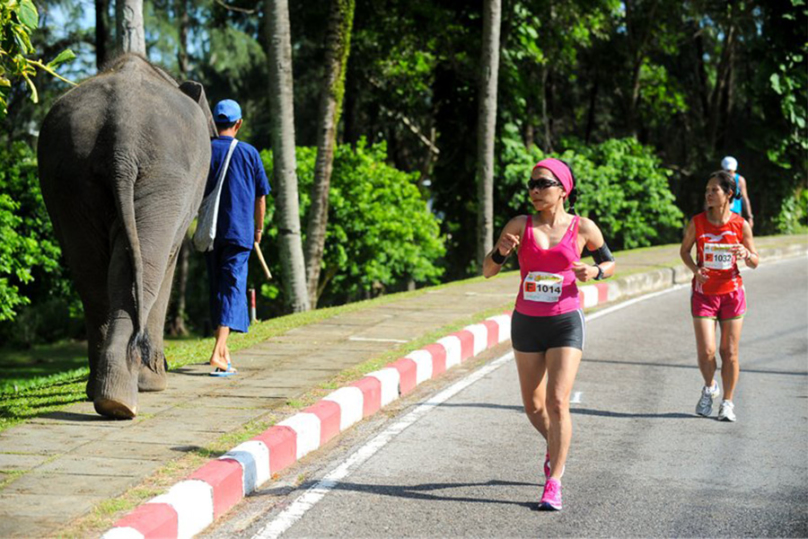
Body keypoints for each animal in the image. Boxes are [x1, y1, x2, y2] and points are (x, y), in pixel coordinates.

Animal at [37, 52, 216, 420]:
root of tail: (121, 132)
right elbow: (168, 263)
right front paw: (155, 382)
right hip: (163, 176)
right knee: (148, 266)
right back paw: (128, 396)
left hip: (68, 177)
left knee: (91, 276)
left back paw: (107, 396)